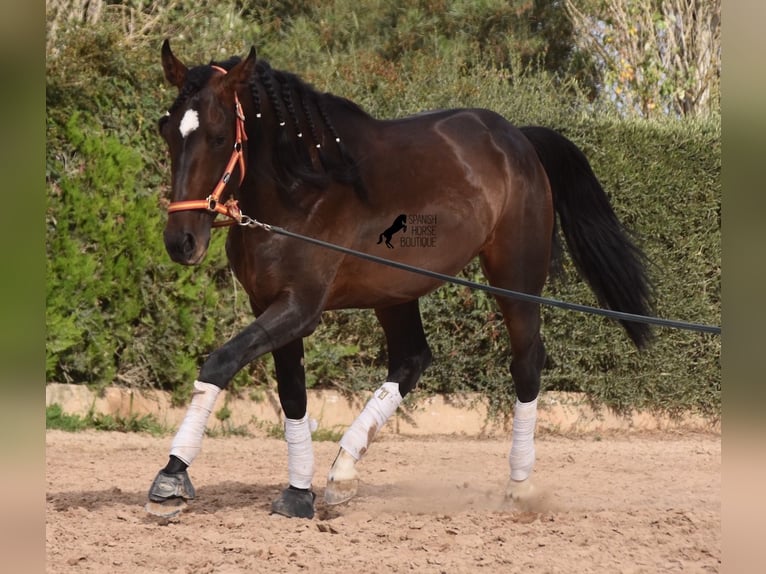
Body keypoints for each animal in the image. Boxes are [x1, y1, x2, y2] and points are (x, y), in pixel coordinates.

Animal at [148, 41, 656, 520]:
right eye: (167, 130)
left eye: (218, 137)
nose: (181, 242)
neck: (301, 191)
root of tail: (519, 140)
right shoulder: (269, 303)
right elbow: (292, 393)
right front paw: (297, 494)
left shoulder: (300, 308)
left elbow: (220, 362)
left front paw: (172, 477)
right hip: (396, 291)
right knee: (412, 359)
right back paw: (343, 474)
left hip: (515, 280)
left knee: (526, 363)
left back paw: (519, 486)